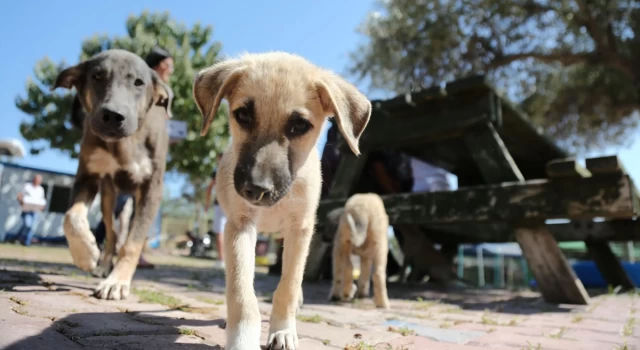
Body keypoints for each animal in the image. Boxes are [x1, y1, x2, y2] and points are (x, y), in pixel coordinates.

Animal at [192, 52, 372, 350]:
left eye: (300, 126)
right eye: (242, 115)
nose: (256, 189)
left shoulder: (300, 228)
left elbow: (289, 284)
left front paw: (283, 331)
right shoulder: (240, 226)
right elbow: (241, 291)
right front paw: (242, 337)